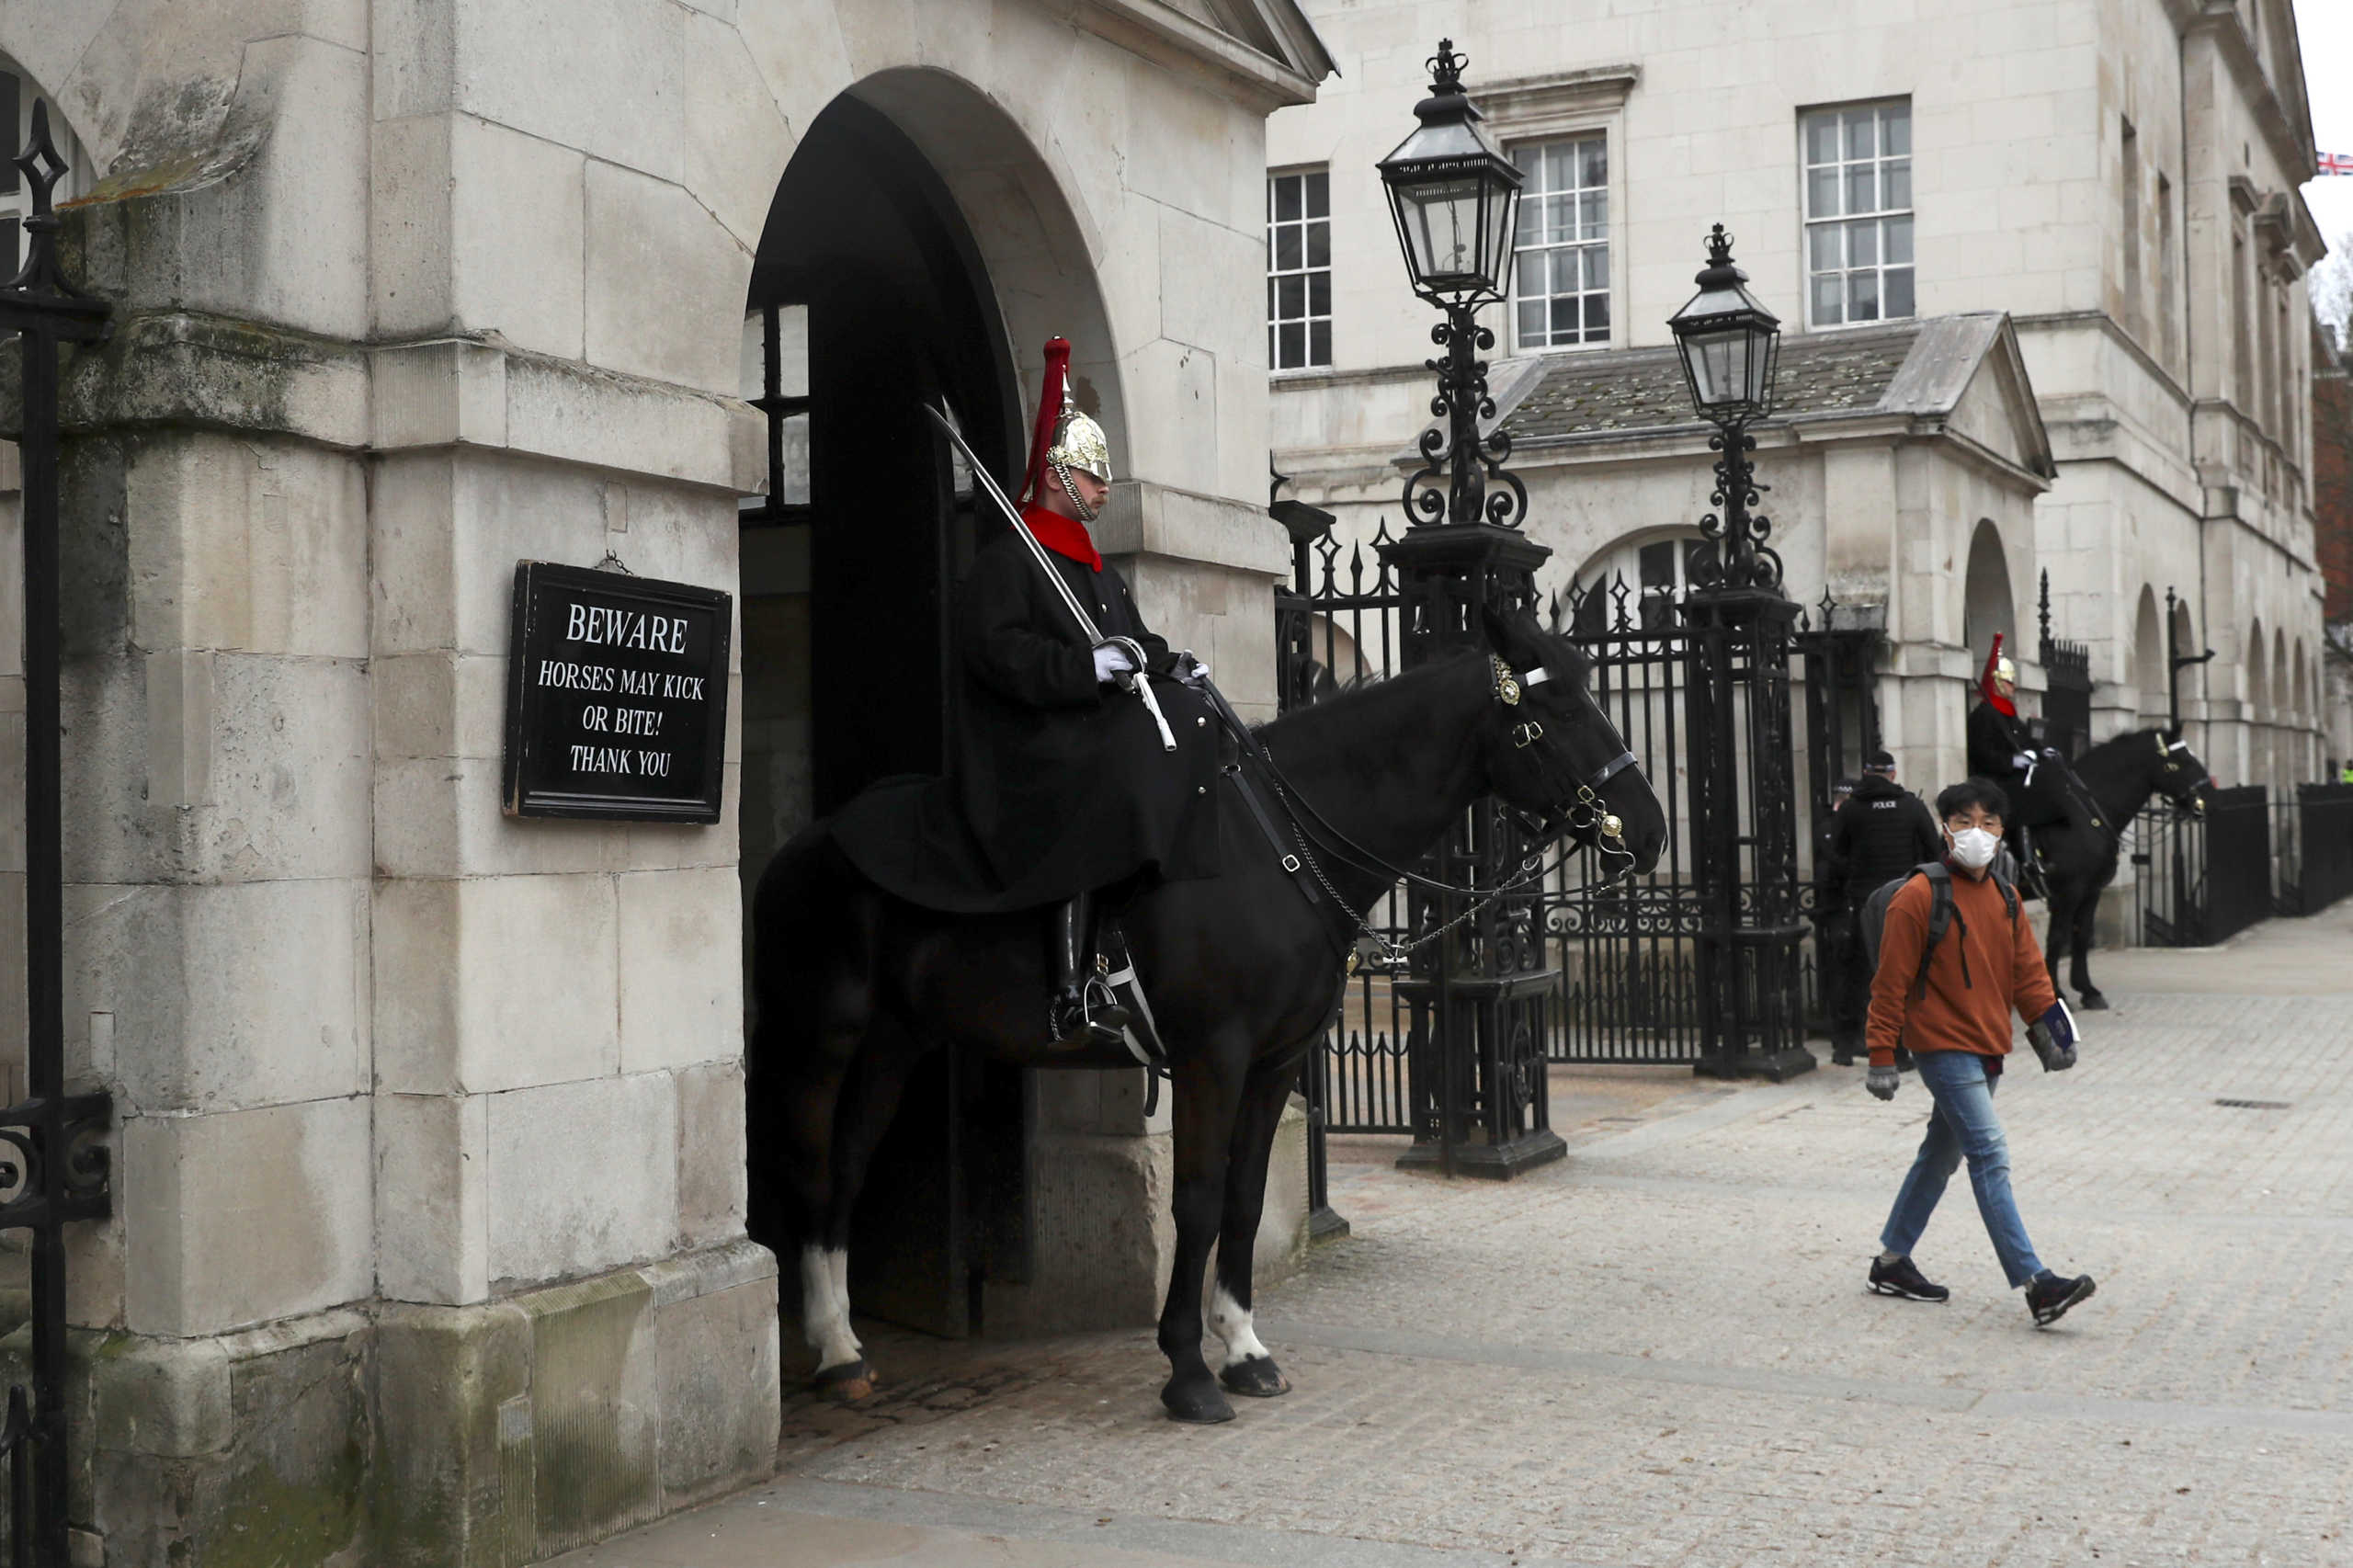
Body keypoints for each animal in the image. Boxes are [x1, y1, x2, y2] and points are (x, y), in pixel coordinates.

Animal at [743, 607, 1665, 1412]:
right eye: (1560, 707)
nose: (1651, 832)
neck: (1280, 847)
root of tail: (803, 843)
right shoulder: (1209, 1057)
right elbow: (1195, 1196)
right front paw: (1186, 1369)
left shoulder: (1274, 1062)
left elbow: (1245, 1198)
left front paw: (1245, 1348)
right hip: (821, 1039)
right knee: (811, 1165)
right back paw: (829, 1349)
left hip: (895, 1043)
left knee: (849, 1168)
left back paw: (843, 1345)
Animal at [2032, 724, 2211, 1007]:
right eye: (2180, 762)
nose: (2206, 801)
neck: (2081, 814)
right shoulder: (2067, 891)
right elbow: (2057, 937)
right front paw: (2056, 993)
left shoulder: (2091, 889)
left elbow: (2081, 934)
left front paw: (2087, 990)